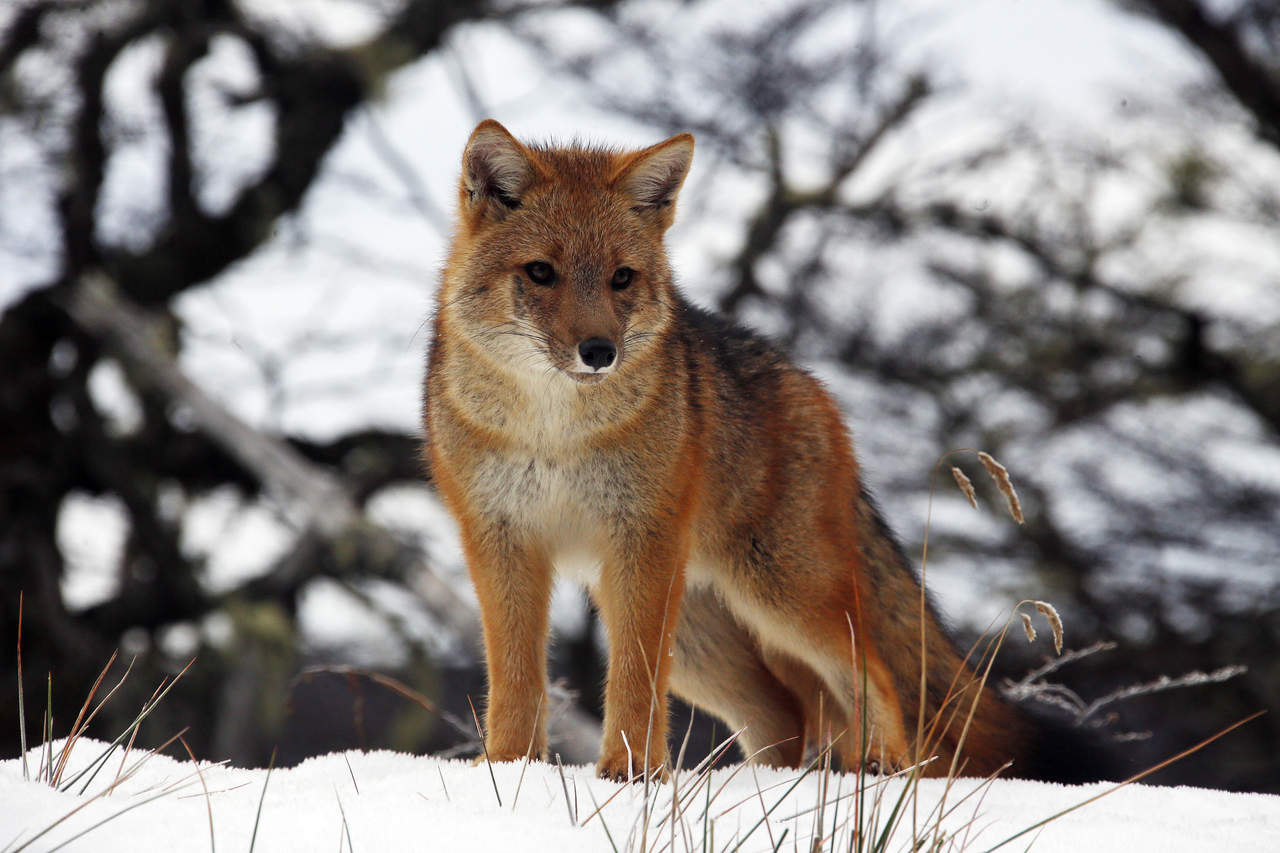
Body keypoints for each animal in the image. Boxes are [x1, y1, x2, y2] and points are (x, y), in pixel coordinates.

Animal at [422, 119, 1111, 783]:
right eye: (541, 272)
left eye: (621, 278)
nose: (599, 352)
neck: (553, 431)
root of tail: (813, 389)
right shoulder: (500, 543)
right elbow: (515, 680)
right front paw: (507, 770)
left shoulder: (640, 546)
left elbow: (634, 684)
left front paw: (631, 772)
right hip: (696, 636)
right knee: (787, 714)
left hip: (776, 597)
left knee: (871, 675)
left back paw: (881, 765)